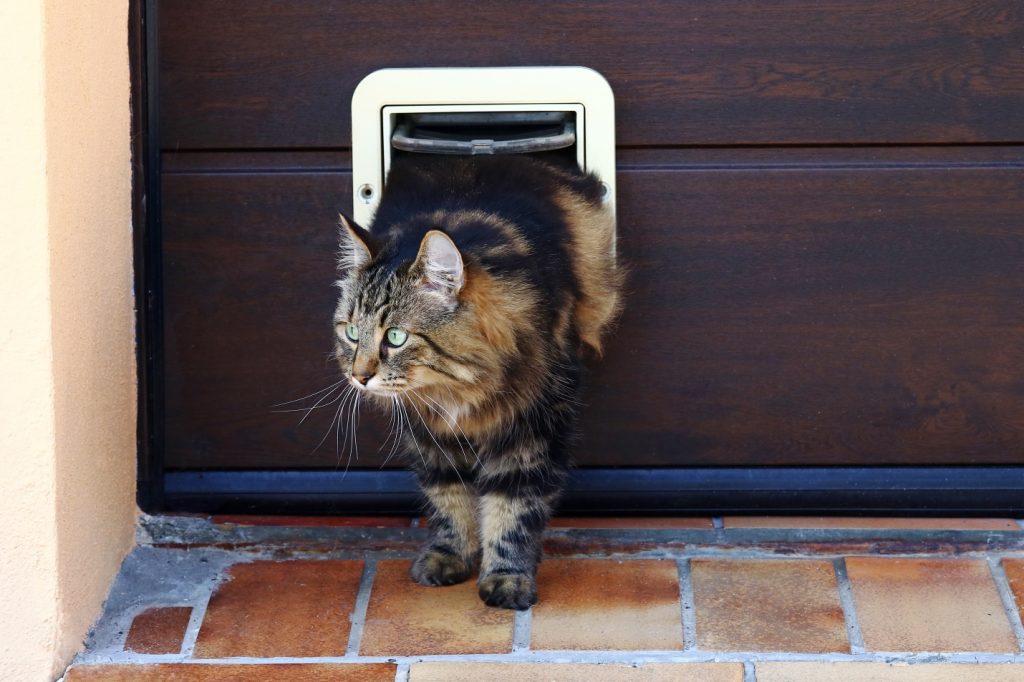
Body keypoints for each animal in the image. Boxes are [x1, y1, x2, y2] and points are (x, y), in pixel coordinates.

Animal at [335, 153, 622, 606]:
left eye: (395, 337)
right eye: (350, 332)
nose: (359, 377)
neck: (458, 388)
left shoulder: (531, 430)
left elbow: (512, 509)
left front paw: (506, 578)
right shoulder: (431, 436)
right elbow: (449, 501)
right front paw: (449, 556)